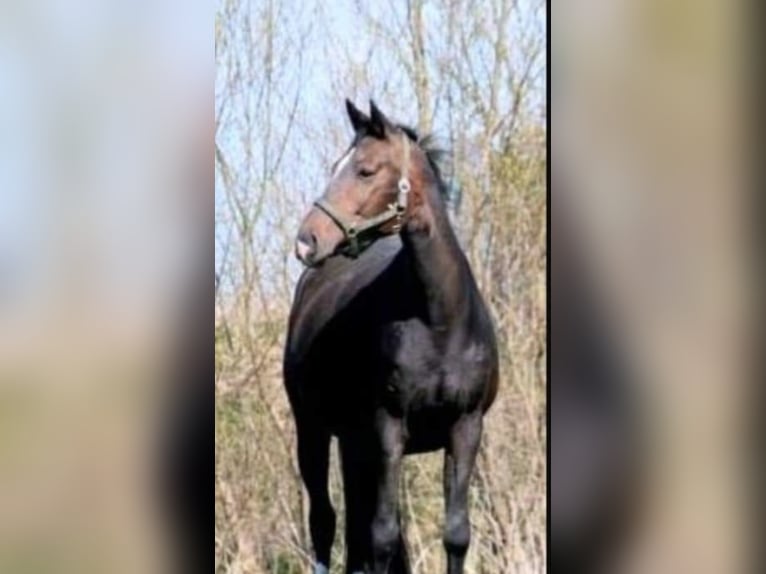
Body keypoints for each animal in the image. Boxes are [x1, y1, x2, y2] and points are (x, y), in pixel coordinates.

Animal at [284, 101, 500, 572]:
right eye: (335, 166)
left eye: (365, 170)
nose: (306, 242)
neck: (439, 321)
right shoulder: (389, 427)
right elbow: (382, 535)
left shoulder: (466, 427)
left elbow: (456, 533)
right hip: (313, 431)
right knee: (324, 522)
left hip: (354, 443)